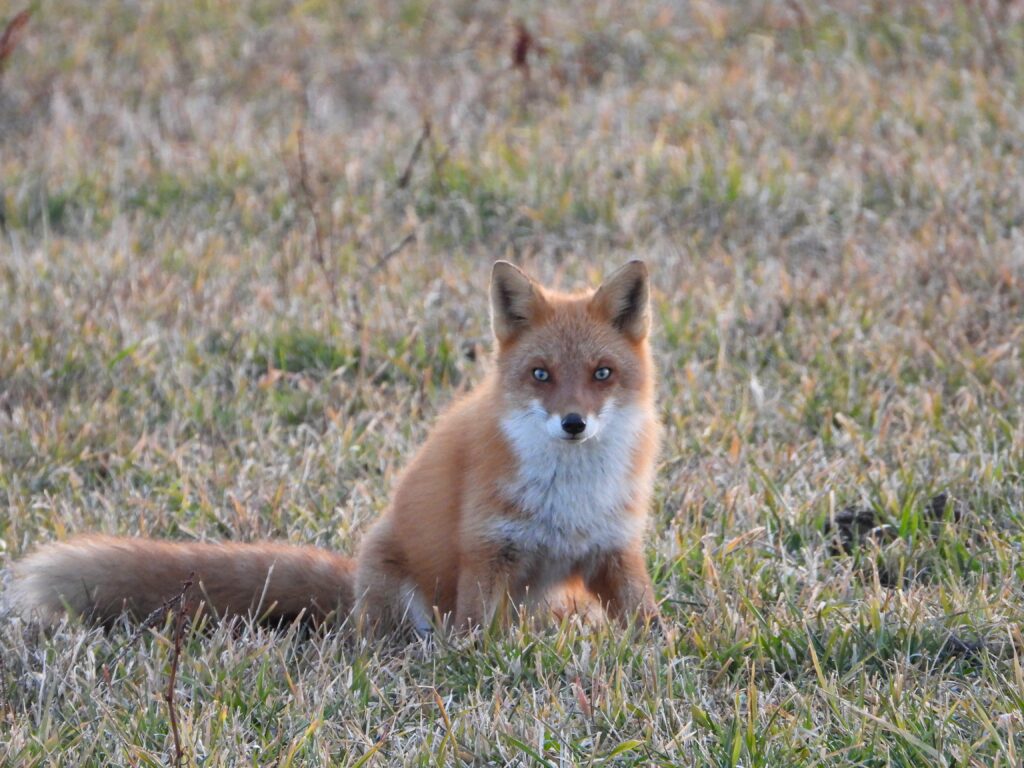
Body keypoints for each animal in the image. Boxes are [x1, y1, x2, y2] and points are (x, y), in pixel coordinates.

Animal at [8, 260, 663, 635]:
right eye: (541, 375)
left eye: (602, 374)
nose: (574, 424)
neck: (569, 493)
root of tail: (353, 591)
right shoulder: (488, 553)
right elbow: (481, 638)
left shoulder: (613, 549)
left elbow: (649, 624)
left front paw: (658, 660)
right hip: (399, 597)